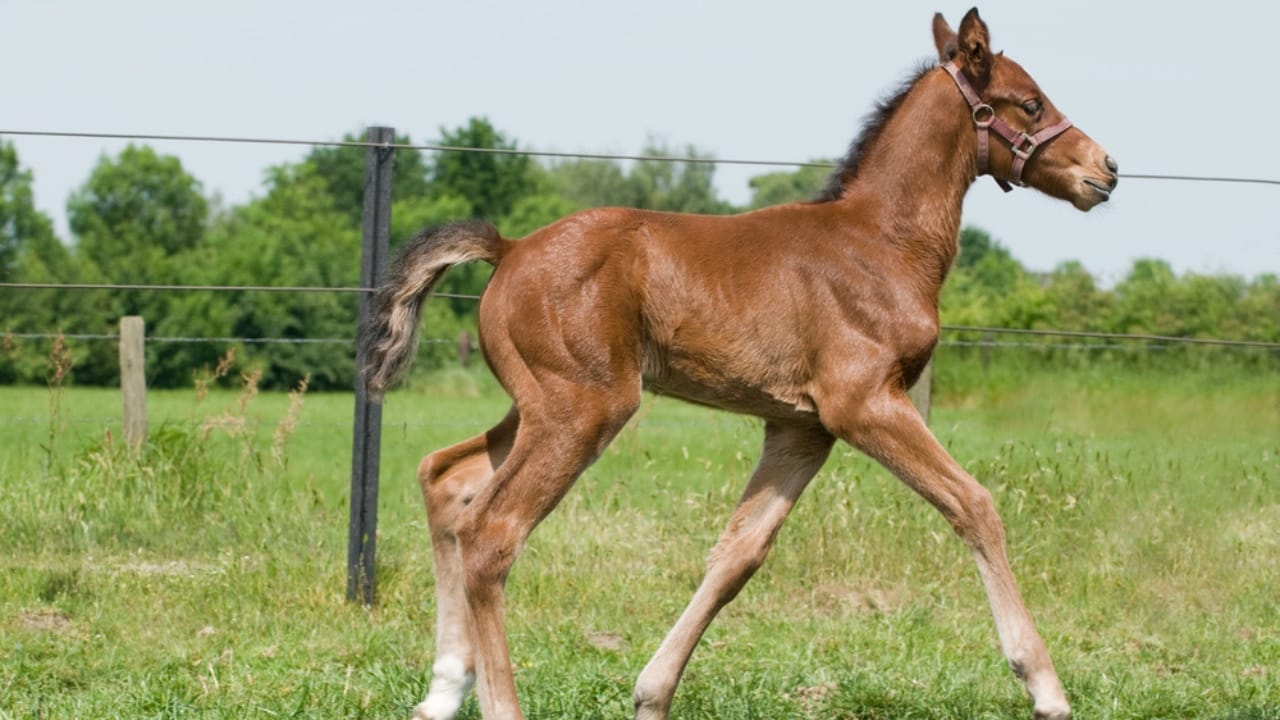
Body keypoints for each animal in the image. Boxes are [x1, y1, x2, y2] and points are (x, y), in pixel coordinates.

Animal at [361, 8, 1117, 720]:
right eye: (1030, 102)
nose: (1104, 169)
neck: (881, 243)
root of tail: (510, 248)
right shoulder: (865, 402)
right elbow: (973, 503)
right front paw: (1045, 687)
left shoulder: (801, 427)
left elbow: (738, 555)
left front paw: (651, 694)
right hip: (583, 408)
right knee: (492, 531)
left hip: (541, 403)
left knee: (447, 480)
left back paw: (441, 691)